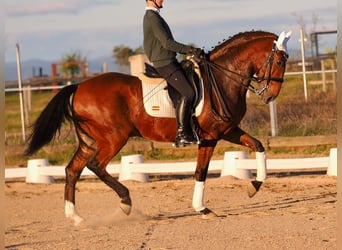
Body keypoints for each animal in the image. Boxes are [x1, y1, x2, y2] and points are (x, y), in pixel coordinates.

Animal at [25, 30, 292, 226]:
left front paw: (254, 186)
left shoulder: (227, 130)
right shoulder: (210, 137)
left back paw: (77, 217)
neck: (222, 78)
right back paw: (125, 202)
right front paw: (202, 208)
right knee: (95, 166)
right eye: (279, 60)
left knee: (73, 170)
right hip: (113, 138)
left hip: (90, 141)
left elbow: (258, 146)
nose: (270, 95)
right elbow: (201, 172)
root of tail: (79, 86)